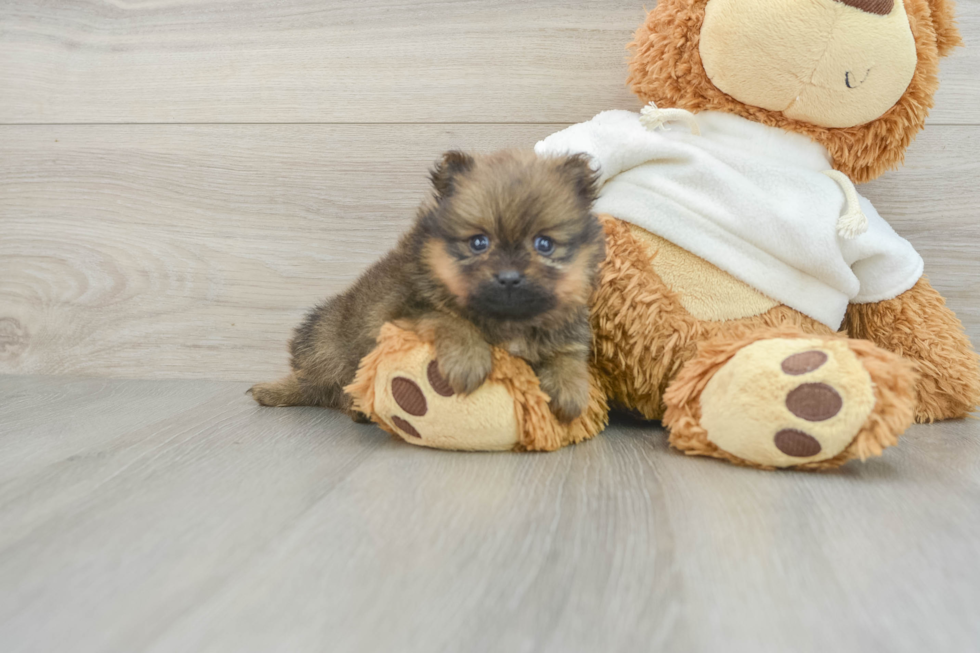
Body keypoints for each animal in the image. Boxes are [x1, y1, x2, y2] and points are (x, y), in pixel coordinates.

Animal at [251, 148, 604, 422]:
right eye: (479, 243)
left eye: (544, 244)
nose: (509, 277)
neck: (507, 322)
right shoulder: (402, 311)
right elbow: (449, 320)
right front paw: (468, 360)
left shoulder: (567, 326)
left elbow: (568, 353)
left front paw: (572, 389)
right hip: (323, 340)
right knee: (321, 384)